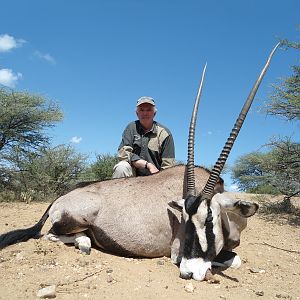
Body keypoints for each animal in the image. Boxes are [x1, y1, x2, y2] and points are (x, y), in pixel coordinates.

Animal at [0, 42, 280, 282]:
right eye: (186, 221)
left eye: (209, 220)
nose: (188, 272)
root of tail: (60, 198)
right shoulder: (177, 251)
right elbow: (235, 259)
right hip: (74, 221)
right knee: (50, 235)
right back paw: (85, 243)